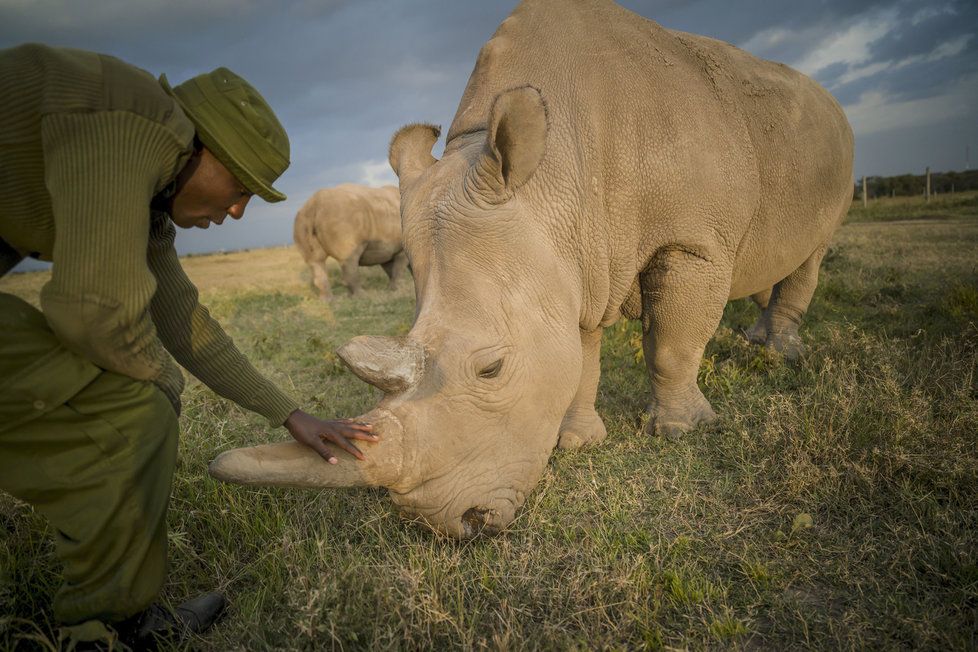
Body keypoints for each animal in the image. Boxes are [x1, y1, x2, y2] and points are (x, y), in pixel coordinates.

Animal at [210, 0, 852, 536]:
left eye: (491, 370)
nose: (457, 524)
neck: (557, 172)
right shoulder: (575, 260)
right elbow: (579, 355)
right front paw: (578, 443)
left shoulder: (692, 242)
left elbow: (672, 342)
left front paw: (680, 431)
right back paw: (759, 341)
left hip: (829, 145)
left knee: (814, 248)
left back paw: (779, 355)